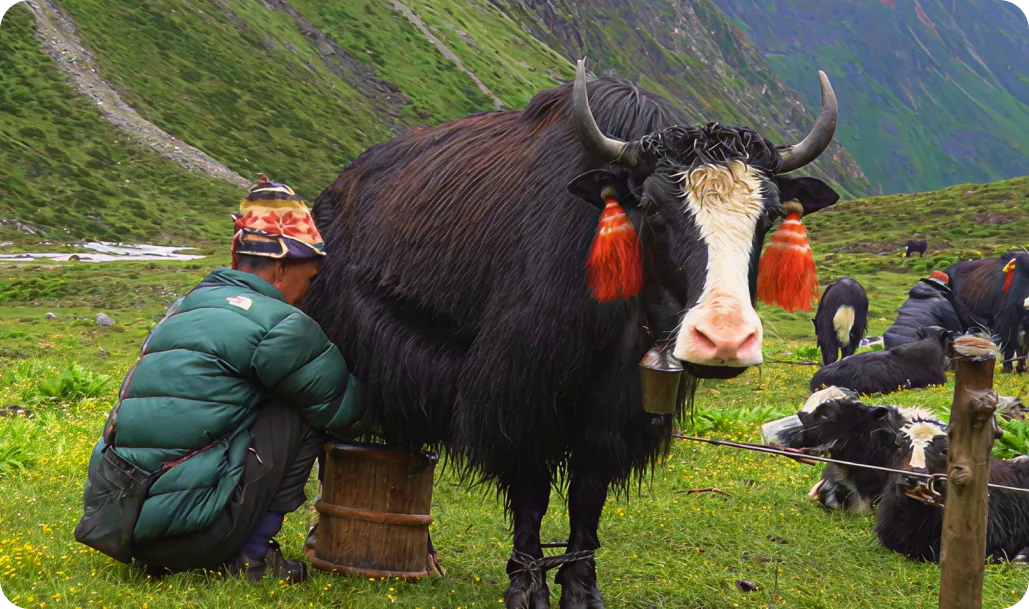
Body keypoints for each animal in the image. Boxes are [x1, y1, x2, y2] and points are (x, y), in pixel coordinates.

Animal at [301, 59, 842, 608]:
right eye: (651, 208)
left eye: (769, 215)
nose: (725, 341)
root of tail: (334, 190)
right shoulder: (522, 395)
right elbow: (532, 491)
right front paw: (526, 586)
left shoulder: (613, 409)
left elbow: (588, 493)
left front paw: (582, 588)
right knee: (332, 437)